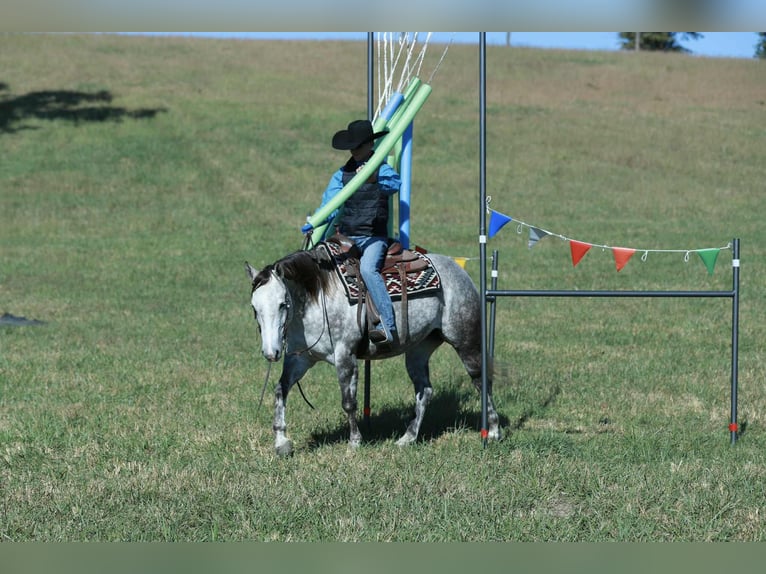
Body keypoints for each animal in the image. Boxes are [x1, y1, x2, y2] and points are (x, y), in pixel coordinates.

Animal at [245, 244, 502, 455]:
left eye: (282, 304)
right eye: (254, 308)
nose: (271, 353)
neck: (318, 297)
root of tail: (458, 270)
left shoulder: (345, 356)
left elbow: (349, 402)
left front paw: (354, 442)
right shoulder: (301, 358)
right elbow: (280, 390)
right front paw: (281, 442)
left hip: (465, 341)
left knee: (481, 381)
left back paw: (493, 432)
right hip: (418, 350)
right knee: (425, 391)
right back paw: (407, 438)